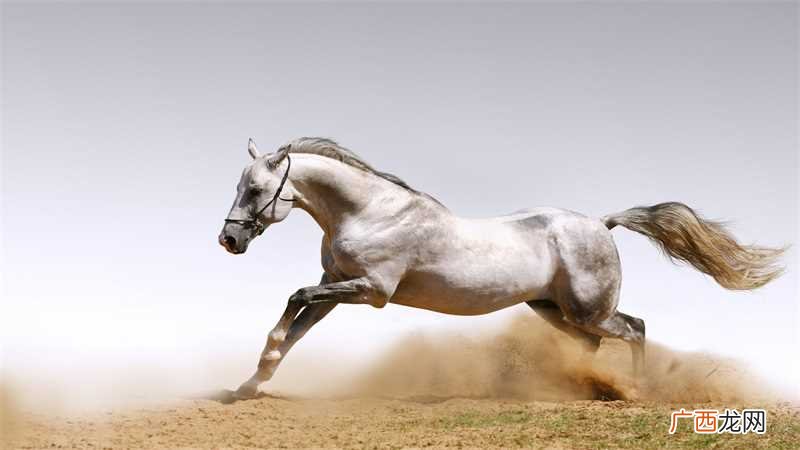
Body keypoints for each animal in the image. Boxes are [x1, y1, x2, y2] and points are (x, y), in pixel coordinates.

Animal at [219, 137, 784, 399]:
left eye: (255, 189)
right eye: (241, 185)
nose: (228, 239)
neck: (370, 211)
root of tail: (601, 223)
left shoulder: (370, 290)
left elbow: (293, 299)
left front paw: (253, 376)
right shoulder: (335, 284)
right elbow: (296, 328)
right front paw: (249, 384)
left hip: (589, 309)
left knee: (637, 328)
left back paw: (635, 390)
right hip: (552, 309)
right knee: (594, 345)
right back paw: (583, 386)